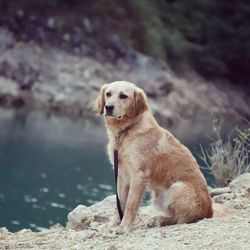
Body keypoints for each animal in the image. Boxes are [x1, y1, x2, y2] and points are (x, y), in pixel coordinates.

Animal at [95, 81, 213, 231]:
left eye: (123, 96)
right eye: (108, 94)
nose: (108, 107)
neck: (125, 131)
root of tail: (210, 211)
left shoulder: (139, 174)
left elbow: (130, 205)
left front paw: (124, 226)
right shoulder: (121, 174)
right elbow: (120, 203)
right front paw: (112, 225)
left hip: (177, 188)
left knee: (182, 219)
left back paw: (159, 220)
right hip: (158, 198)